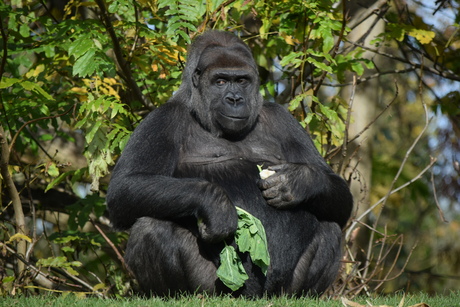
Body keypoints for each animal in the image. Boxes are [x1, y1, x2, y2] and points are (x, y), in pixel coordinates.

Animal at [107, 30, 352, 298]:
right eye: (221, 81)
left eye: (242, 80)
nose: (235, 99)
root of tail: (254, 297)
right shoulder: (162, 119)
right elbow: (124, 189)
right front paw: (216, 204)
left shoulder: (284, 119)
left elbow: (339, 195)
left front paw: (299, 182)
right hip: (218, 289)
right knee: (150, 226)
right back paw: (177, 294)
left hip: (277, 289)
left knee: (331, 229)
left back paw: (301, 295)